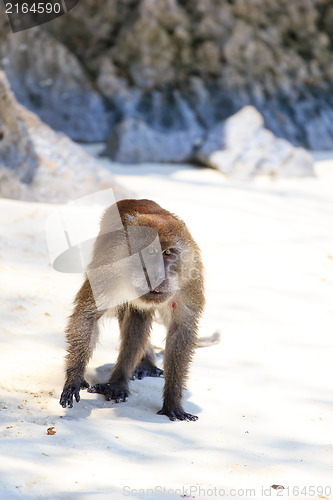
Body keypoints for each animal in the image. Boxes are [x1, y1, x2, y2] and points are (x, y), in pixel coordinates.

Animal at [60, 199, 205, 422]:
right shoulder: (109, 267)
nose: (158, 274)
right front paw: (74, 376)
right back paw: (119, 381)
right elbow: (88, 316)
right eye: (150, 252)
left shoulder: (190, 277)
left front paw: (173, 402)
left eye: (168, 253)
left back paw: (129, 375)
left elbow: (181, 331)